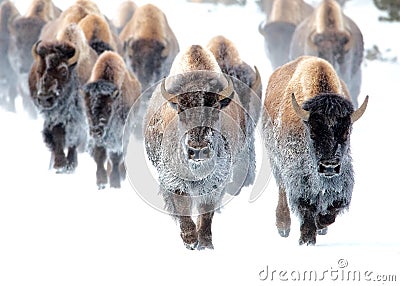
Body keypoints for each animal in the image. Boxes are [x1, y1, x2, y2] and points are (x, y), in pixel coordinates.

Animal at [83, 50, 142, 190]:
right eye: (86, 107)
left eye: (109, 108)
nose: (96, 131)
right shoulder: (99, 141)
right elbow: (100, 157)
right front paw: (101, 182)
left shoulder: (119, 136)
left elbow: (115, 158)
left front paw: (115, 183)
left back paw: (122, 175)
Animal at [144, 44, 253, 248]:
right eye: (180, 109)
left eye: (216, 107)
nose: (198, 150)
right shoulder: (174, 179)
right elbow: (182, 206)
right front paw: (190, 239)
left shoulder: (216, 181)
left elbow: (207, 210)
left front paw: (205, 242)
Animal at [262, 55, 368, 246]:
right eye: (312, 133)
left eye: (346, 132)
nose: (329, 166)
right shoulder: (299, 176)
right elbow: (306, 206)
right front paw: (307, 239)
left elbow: (332, 207)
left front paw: (320, 225)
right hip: (275, 161)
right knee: (282, 189)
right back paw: (283, 227)